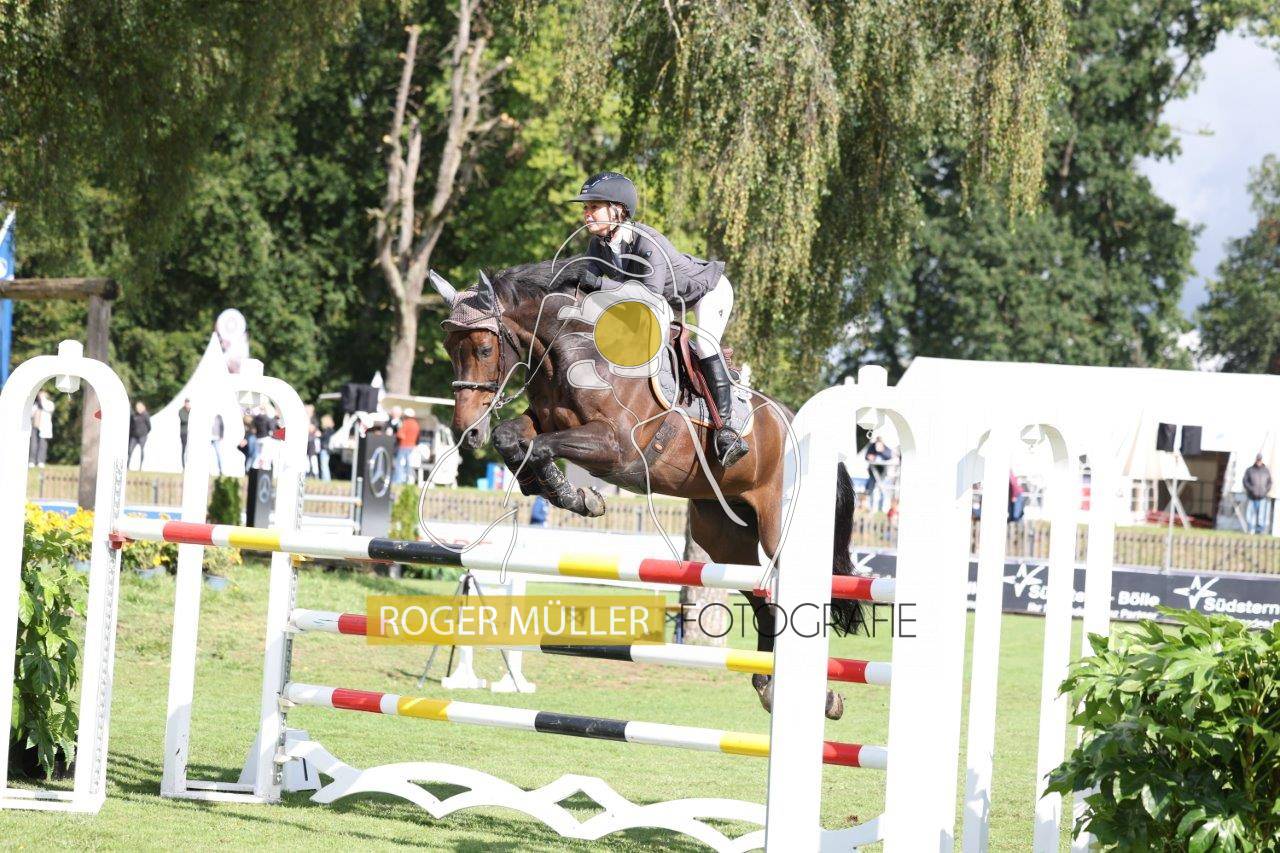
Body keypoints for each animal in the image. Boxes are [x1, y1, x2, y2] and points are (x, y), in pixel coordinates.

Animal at [434, 259, 858, 719]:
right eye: (449, 349)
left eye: (483, 349)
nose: (466, 431)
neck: (571, 353)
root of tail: (796, 424)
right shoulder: (548, 421)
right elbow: (513, 437)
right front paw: (562, 492)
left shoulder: (617, 446)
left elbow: (540, 445)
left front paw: (574, 495)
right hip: (725, 536)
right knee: (762, 594)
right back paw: (770, 687)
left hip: (779, 527)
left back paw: (817, 694)